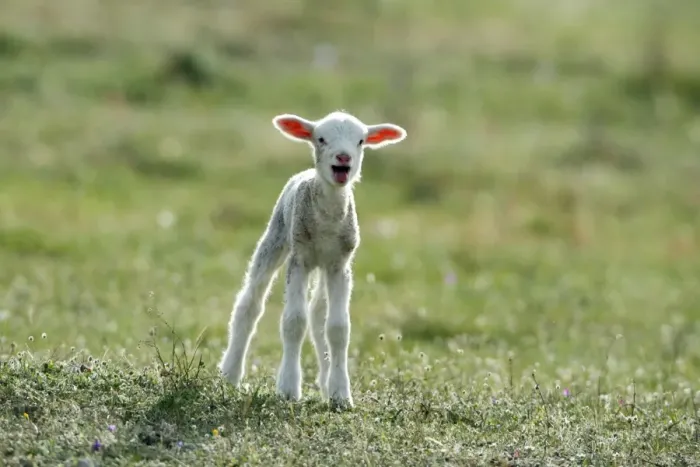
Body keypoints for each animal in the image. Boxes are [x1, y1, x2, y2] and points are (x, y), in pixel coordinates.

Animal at [218, 110, 407, 409]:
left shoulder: (340, 265)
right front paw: (287, 389)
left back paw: (326, 383)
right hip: (276, 237)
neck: (327, 221)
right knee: (250, 303)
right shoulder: (300, 259)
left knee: (319, 314)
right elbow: (294, 321)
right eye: (321, 138)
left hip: (324, 265)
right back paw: (231, 373)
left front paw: (341, 395)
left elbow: (338, 328)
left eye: (361, 141)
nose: (343, 157)